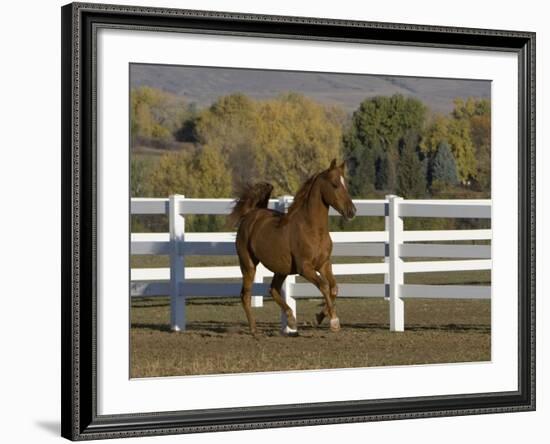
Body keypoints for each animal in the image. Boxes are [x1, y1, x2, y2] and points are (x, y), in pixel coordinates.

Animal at [229, 158, 358, 334]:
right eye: (335, 184)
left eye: (346, 184)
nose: (352, 211)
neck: (312, 230)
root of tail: (251, 215)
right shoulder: (305, 268)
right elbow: (324, 286)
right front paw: (334, 322)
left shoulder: (324, 264)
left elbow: (334, 288)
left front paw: (319, 317)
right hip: (248, 264)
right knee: (245, 295)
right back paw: (254, 329)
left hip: (281, 269)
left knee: (273, 289)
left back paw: (290, 319)